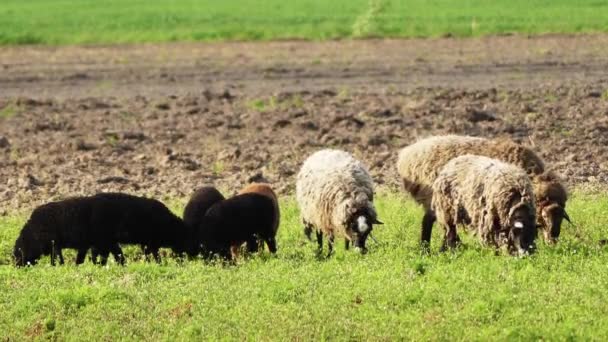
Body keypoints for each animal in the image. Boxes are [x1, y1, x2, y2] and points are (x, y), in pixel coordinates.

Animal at [396, 135, 568, 247]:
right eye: (545, 216)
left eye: (561, 217)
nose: (553, 240)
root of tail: (406, 155)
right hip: (438, 200)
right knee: (431, 222)